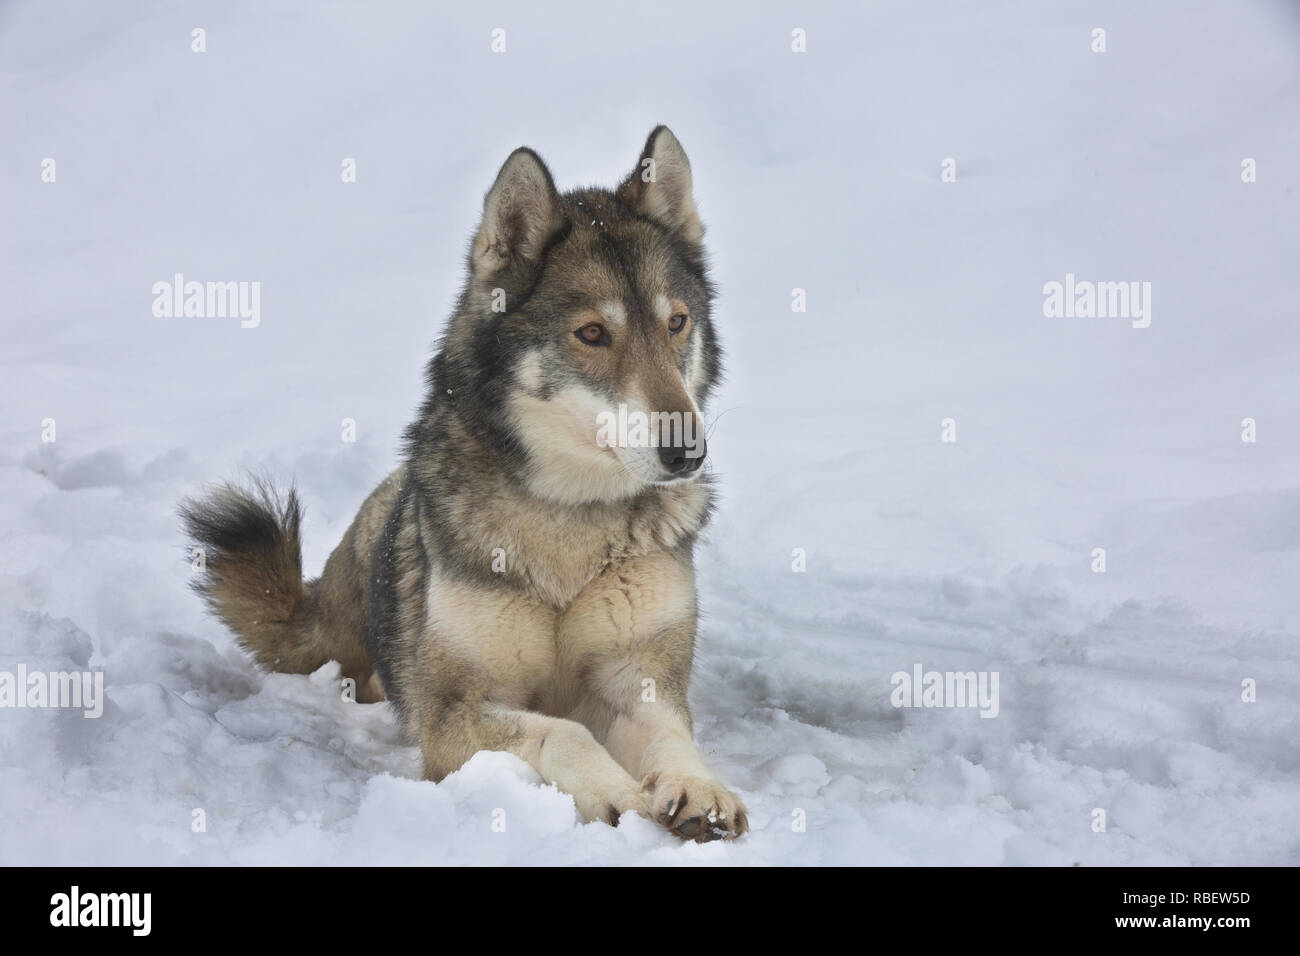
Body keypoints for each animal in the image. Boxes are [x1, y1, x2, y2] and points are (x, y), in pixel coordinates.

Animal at [185, 128, 754, 842]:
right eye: (593, 333)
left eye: (676, 323)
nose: (687, 450)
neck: (570, 520)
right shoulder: (453, 713)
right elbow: (564, 733)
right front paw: (617, 794)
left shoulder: (641, 680)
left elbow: (673, 738)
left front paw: (700, 790)